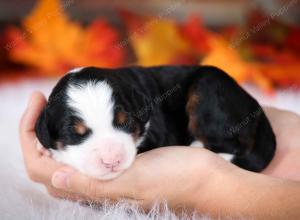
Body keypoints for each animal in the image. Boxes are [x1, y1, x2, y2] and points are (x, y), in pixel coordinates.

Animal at [35, 66, 276, 180]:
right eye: (75, 134)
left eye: (125, 123)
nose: (111, 161)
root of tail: (256, 107)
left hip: (208, 90)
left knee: (234, 144)